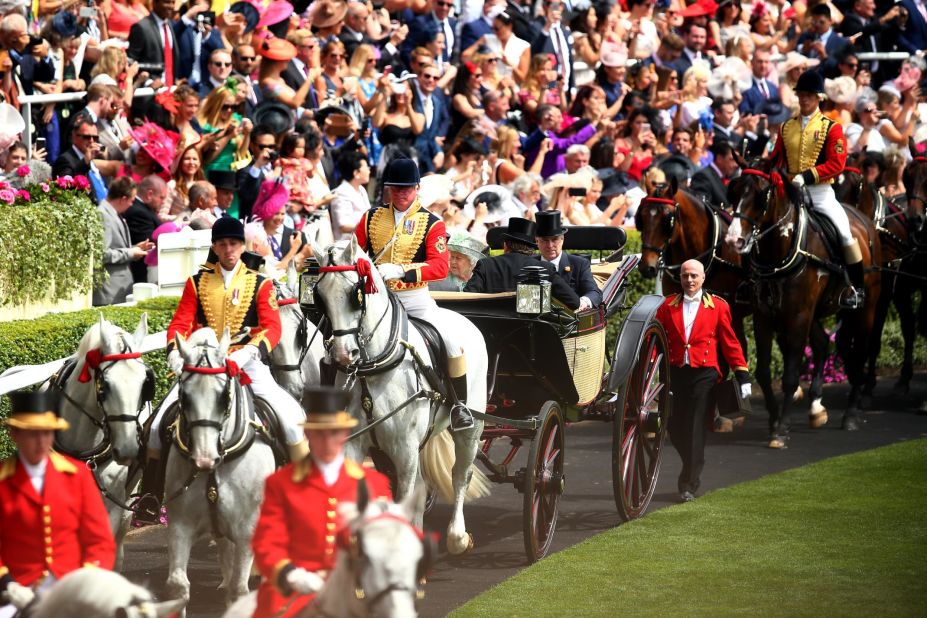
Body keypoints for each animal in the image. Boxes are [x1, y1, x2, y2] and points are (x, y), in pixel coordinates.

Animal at [165, 328, 278, 608]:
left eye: (223, 396)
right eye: (184, 396)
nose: (204, 459)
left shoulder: (248, 529)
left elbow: (239, 590)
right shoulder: (180, 524)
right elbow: (177, 586)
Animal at [312, 236, 490, 552]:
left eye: (355, 293)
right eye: (320, 295)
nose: (344, 354)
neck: (372, 368)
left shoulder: (404, 449)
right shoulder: (356, 445)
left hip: (471, 428)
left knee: (460, 474)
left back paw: (457, 537)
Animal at [724, 166, 884, 446]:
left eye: (762, 195)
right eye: (733, 190)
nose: (734, 240)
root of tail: (866, 223)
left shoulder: (798, 316)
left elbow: (790, 375)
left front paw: (781, 428)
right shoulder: (764, 317)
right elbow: (763, 372)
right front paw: (774, 419)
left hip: (866, 309)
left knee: (861, 350)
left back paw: (851, 413)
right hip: (816, 312)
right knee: (825, 342)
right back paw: (818, 407)